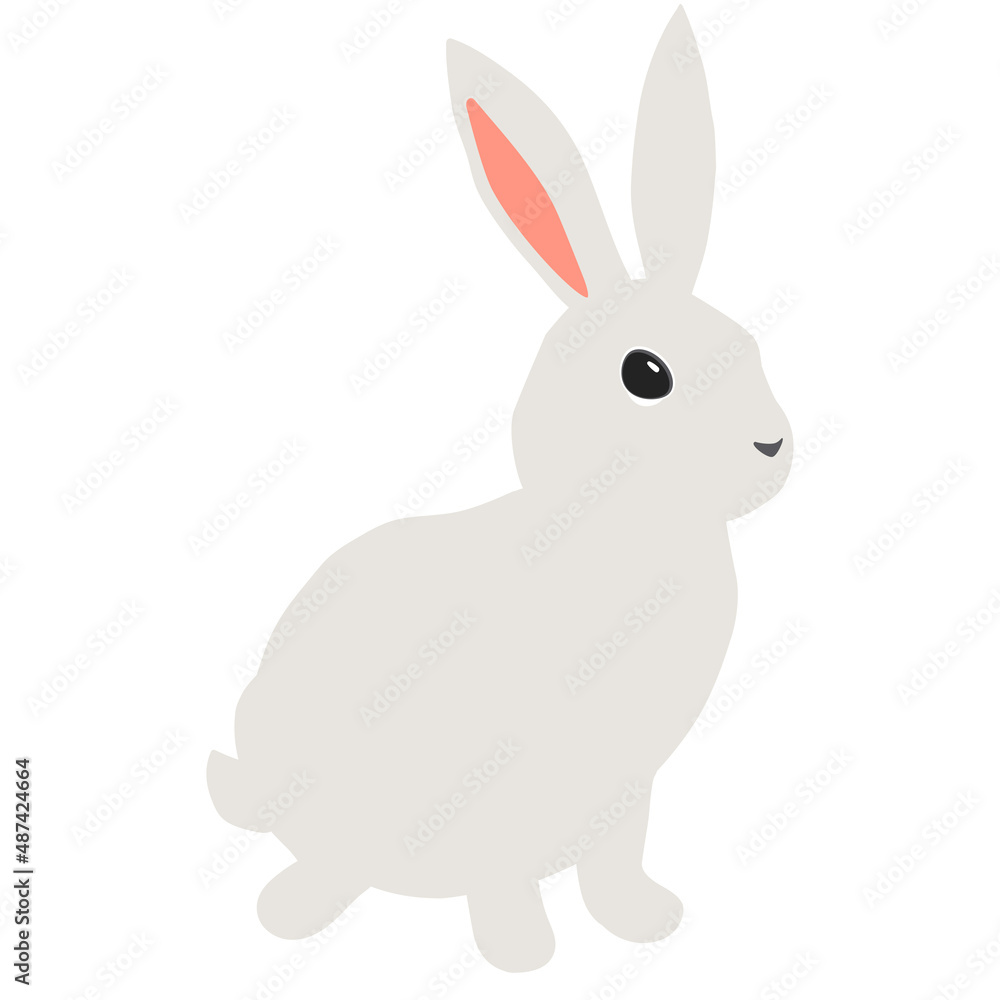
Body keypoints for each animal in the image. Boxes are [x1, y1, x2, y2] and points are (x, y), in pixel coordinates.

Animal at [208, 4, 793, 973]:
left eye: (746, 345)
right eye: (647, 374)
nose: (773, 445)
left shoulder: (626, 794)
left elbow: (614, 865)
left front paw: (646, 923)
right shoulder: (500, 795)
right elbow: (504, 881)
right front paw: (523, 956)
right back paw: (290, 917)